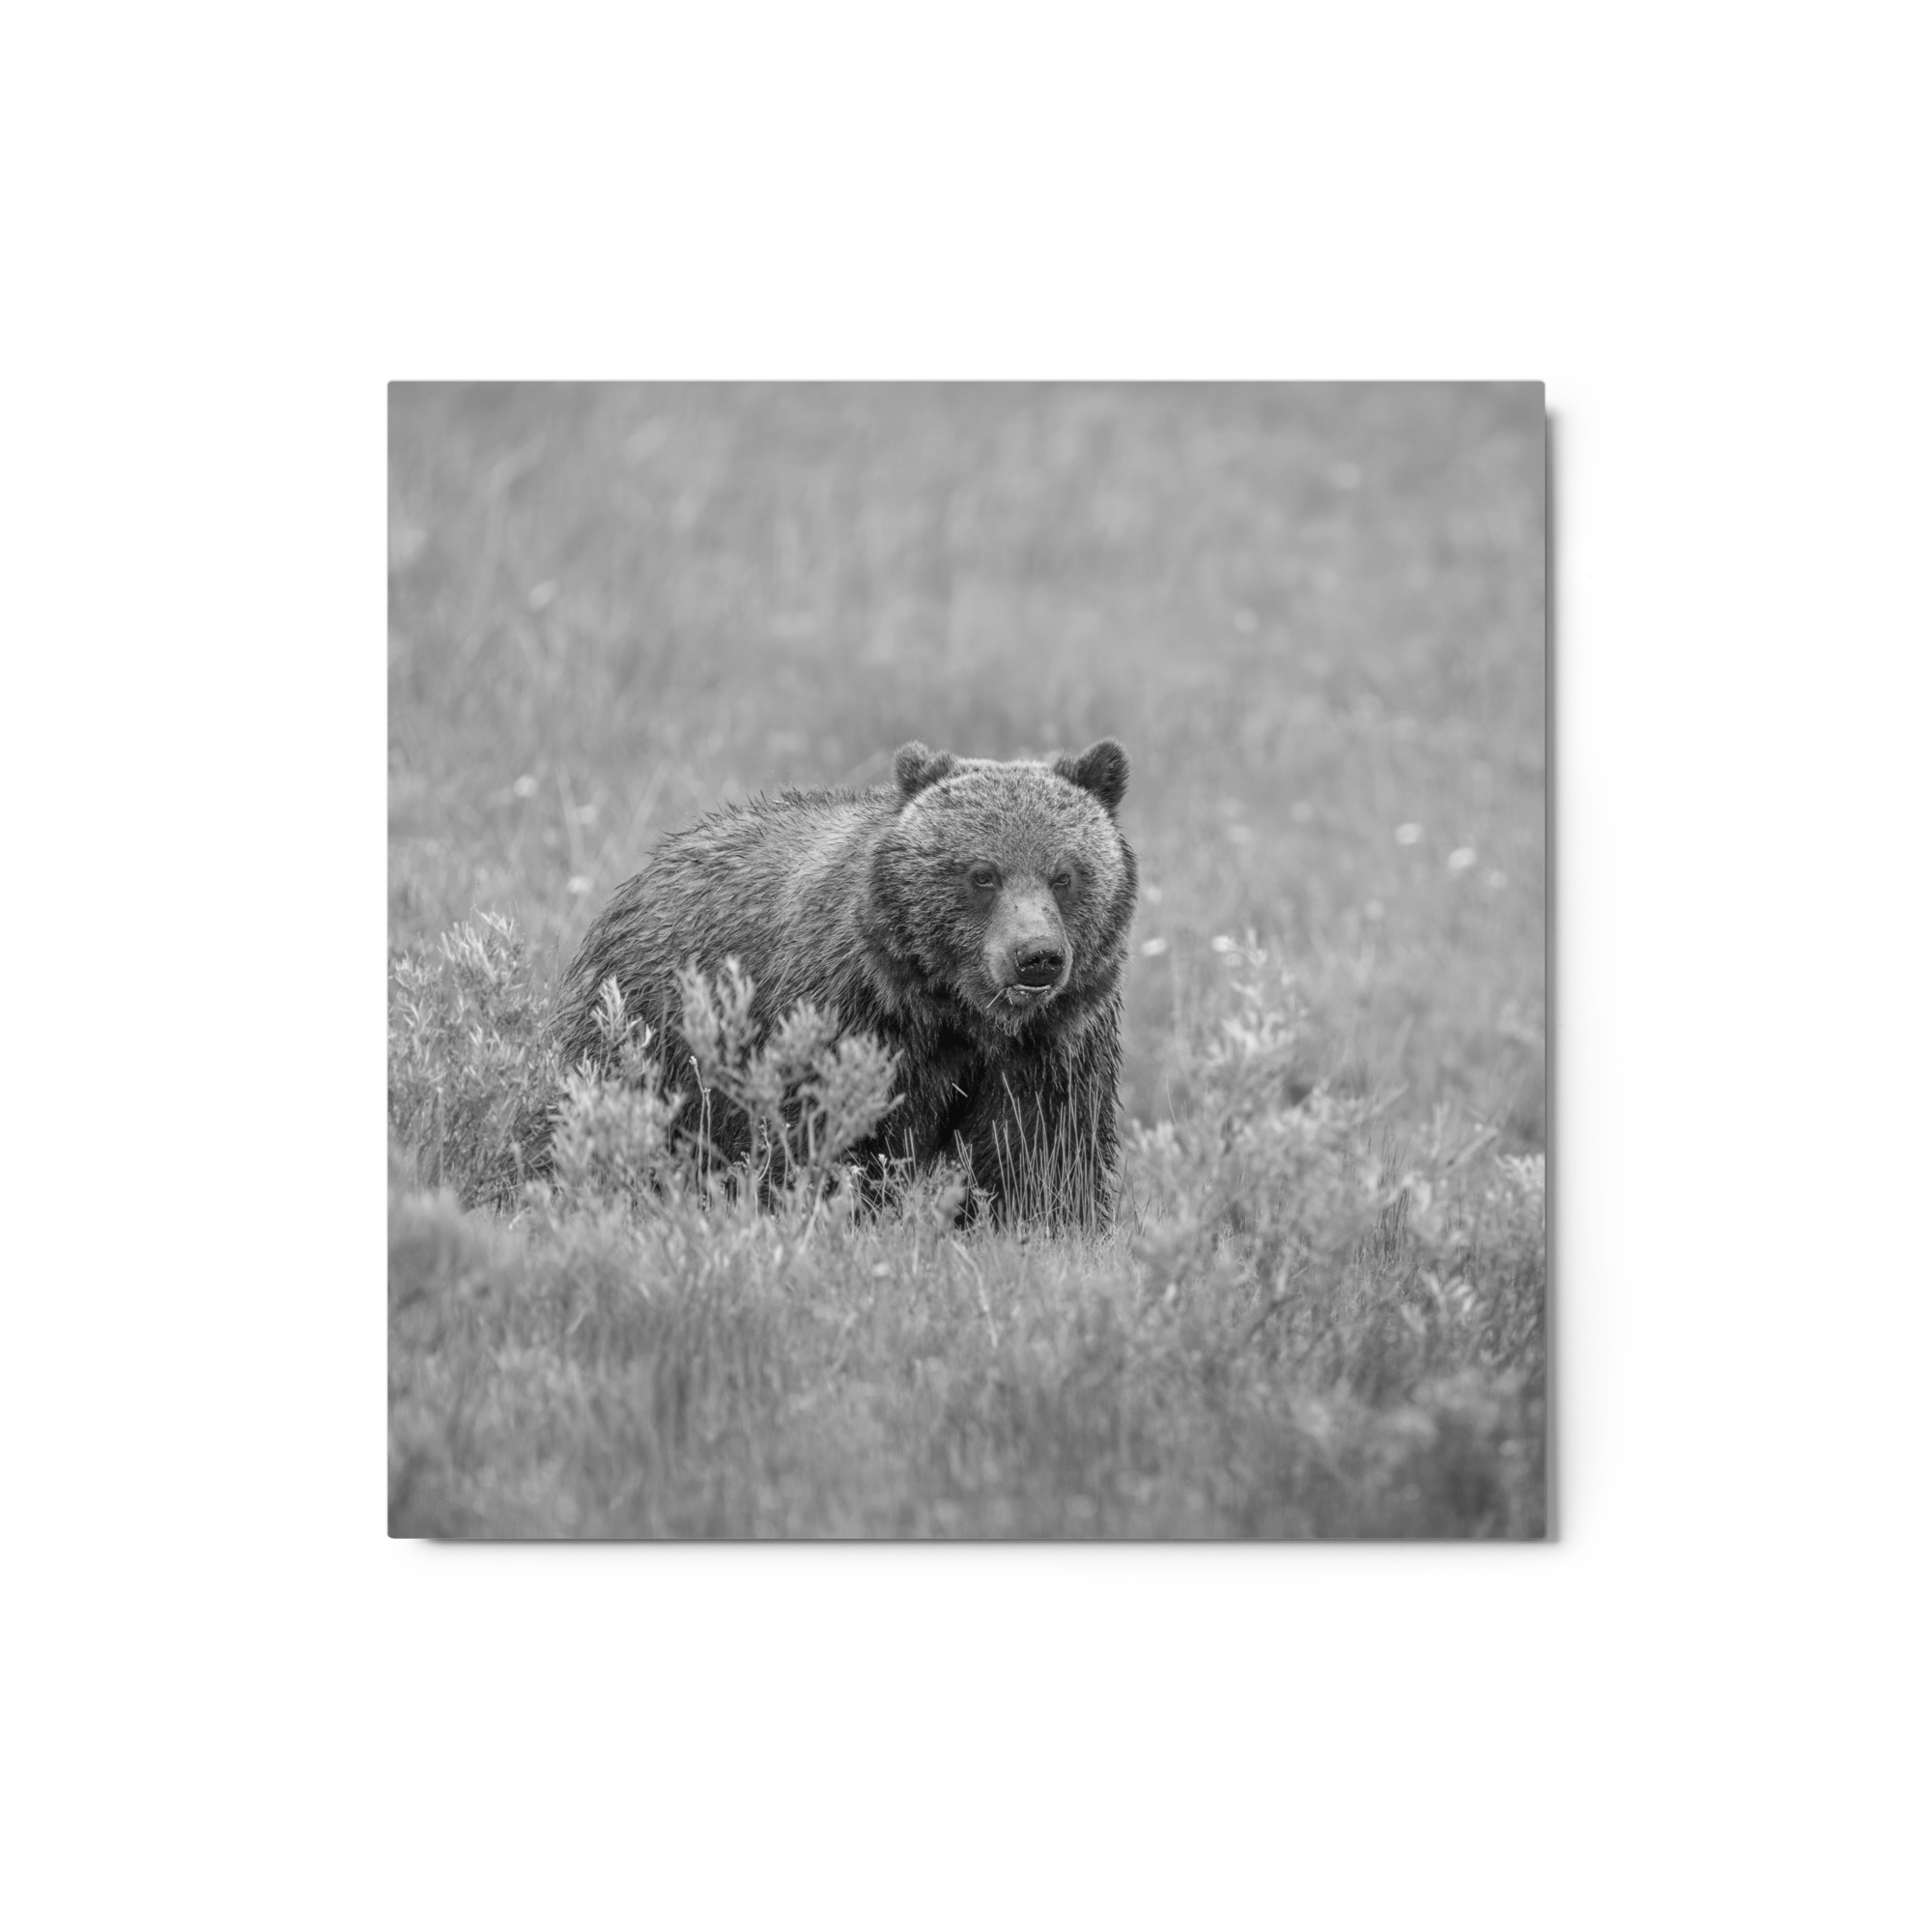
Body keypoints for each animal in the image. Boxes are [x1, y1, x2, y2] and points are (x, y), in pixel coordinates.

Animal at [544, 738, 1138, 1226]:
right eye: (982, 874)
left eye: (1064, 875)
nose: (1036, 957)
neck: (957, 1013)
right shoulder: (851, 1017)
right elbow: (830, 1136)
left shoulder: (1052, 1046)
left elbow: (1042, 1155)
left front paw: (1045, 1223)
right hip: (650, 1031)